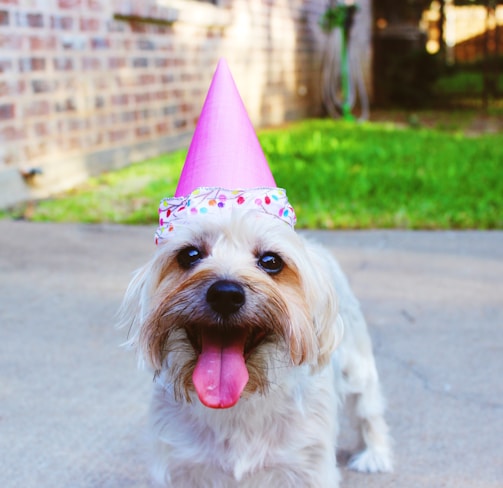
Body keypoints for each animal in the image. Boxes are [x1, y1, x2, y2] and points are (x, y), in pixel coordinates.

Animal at [118, 207, 394, 488]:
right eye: (190, 254)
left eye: (271, 261)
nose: (225, 294)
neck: (238, 403)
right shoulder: (180, 466)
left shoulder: (307, 467)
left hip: (358, 367)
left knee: (368, 410)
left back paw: (374, 454)